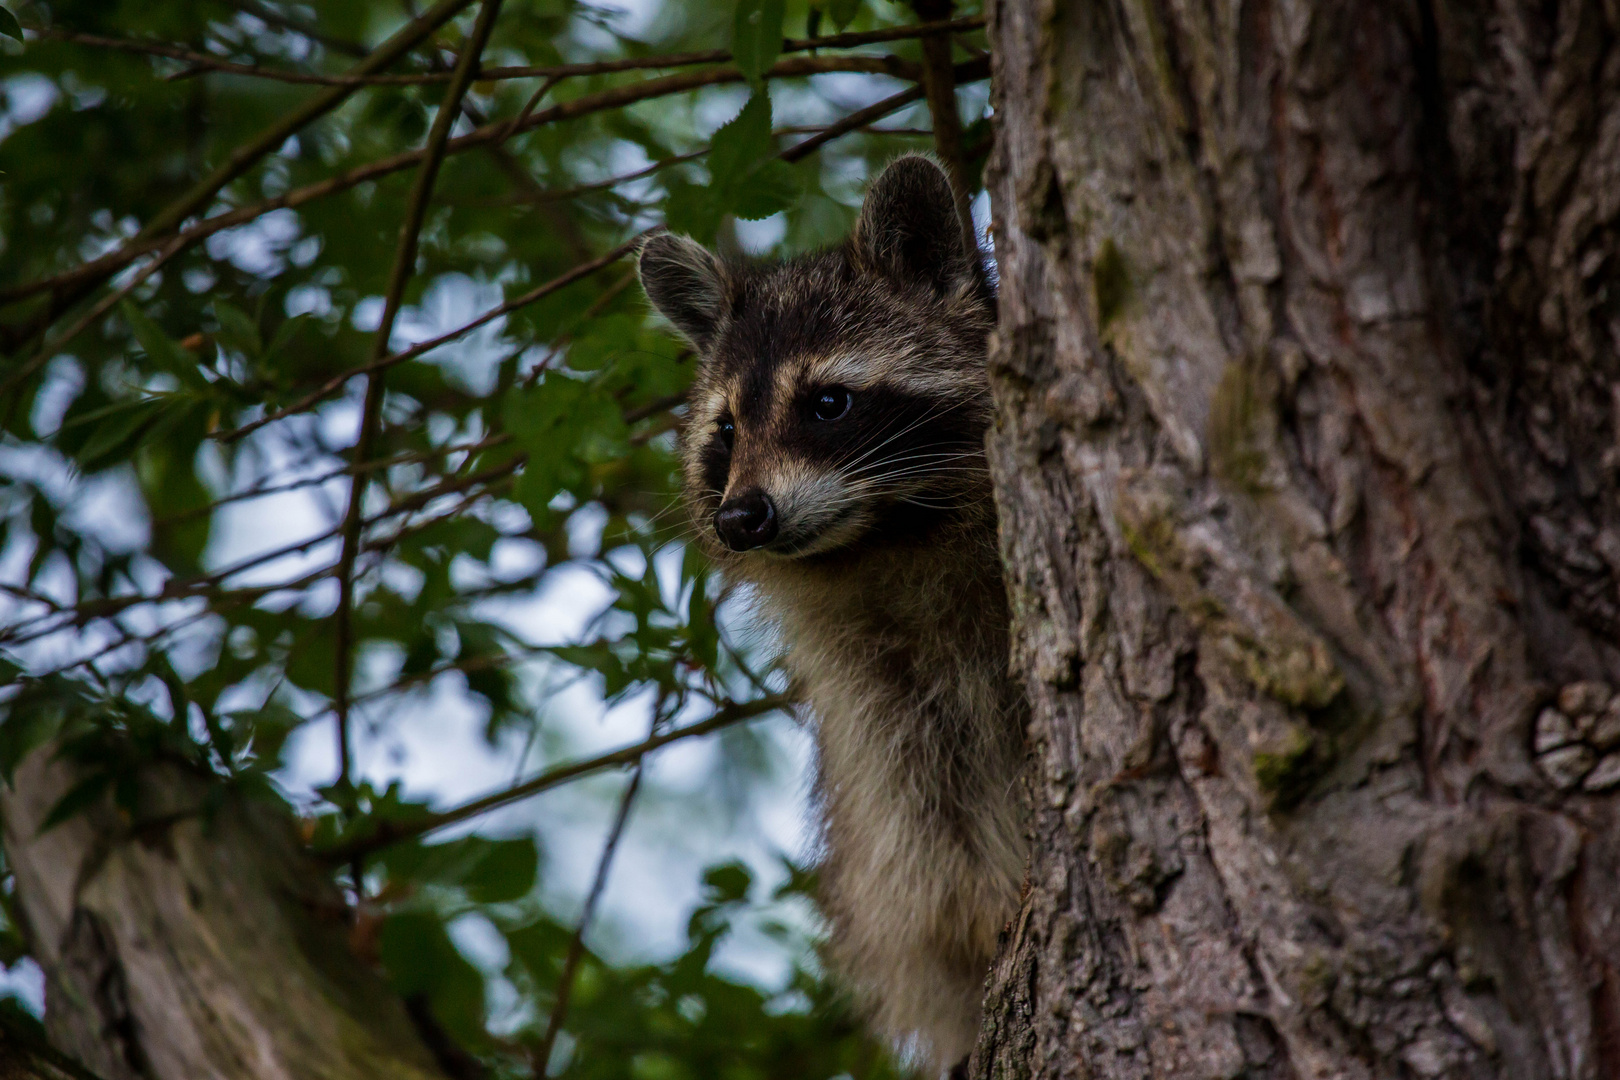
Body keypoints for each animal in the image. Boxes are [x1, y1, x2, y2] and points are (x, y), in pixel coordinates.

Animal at [635, 153, 1023, 1075]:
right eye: (726, 430)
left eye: (828, 403)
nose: (743, 518)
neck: (888, 546)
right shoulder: (881, 690)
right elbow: (931, 833)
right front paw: (981, 916)